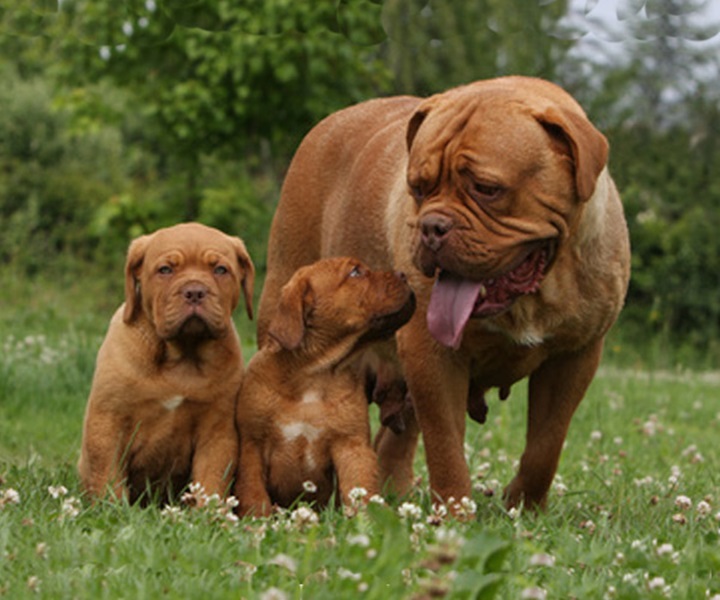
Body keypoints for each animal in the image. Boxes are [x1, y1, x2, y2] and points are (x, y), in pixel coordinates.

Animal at [78, 220, 253, 502]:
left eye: (220, 270)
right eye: (165, 270)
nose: (195, 291)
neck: (182, 355)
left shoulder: (217, 431)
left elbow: (211, 479)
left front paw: (210, 510)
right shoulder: (108, 420)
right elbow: (107, 475)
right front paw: (110, 507)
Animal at [235, 254, 414, 516]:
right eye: (355, 272)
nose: (404, 274)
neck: (313, 374)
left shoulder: (351, 446)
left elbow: (360, 488)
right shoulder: (252, 445)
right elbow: (253, 491)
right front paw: (257, 520)